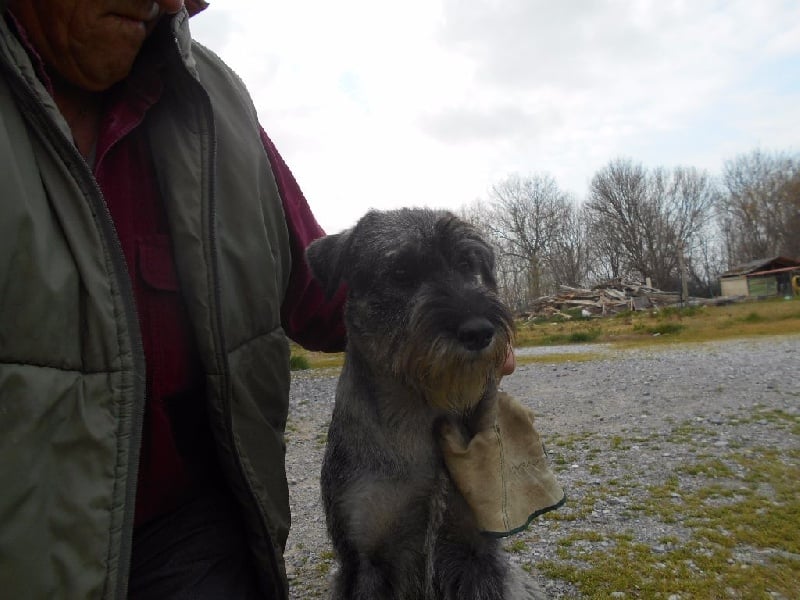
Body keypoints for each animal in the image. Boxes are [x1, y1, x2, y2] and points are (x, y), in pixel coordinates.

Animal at [306, 208, 546, 599]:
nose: (479, 331)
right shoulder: (365, 563)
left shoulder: (476, 553)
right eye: (401, 272)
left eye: (466, 264)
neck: (419, 416)